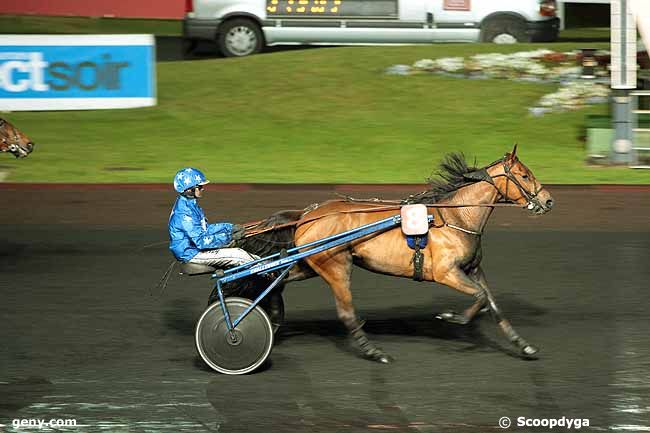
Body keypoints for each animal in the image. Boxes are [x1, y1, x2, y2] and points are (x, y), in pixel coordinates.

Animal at [238, 147, 552, 362]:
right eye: (525, 175)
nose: (548, 200)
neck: (456, 218)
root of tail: (307, 214)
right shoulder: (446, 272)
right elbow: (479, 296)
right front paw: (453, 317)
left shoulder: (473, 269)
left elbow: (491, 302)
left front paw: (523, 344)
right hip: (336, 266)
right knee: (346, 313)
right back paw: (374, 352)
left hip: (309, 263)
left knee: (276, 279)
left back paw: (269, 315)